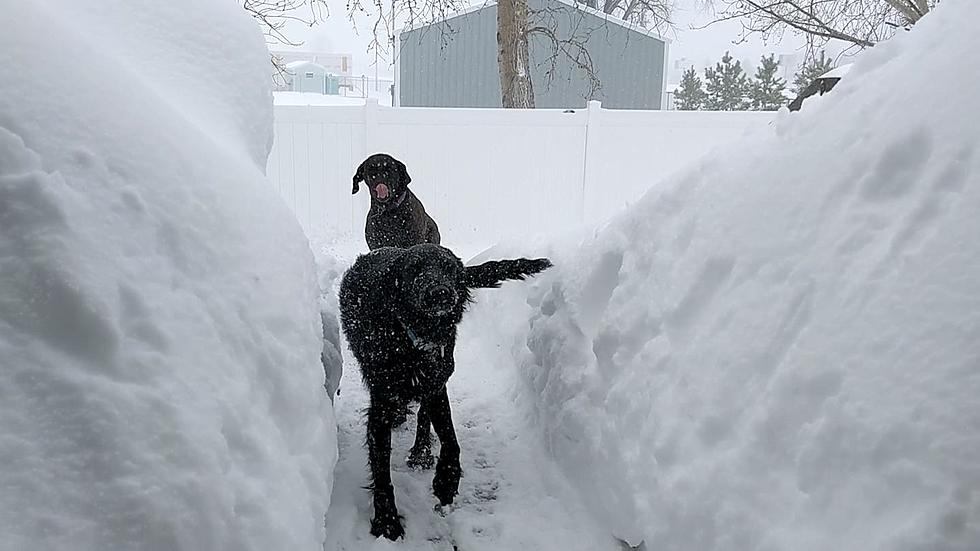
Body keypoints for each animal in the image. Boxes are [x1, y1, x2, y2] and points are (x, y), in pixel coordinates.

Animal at [338, 243, 552, 540]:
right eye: (414, 268)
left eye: (449, 268)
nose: (440, 292)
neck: (413, 338)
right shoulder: (381, 402)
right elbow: (381, 471)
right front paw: (387, 521)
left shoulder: (436, 385)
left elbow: (450, 440)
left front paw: (446, 481)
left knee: (423, 416)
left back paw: (421, 451)